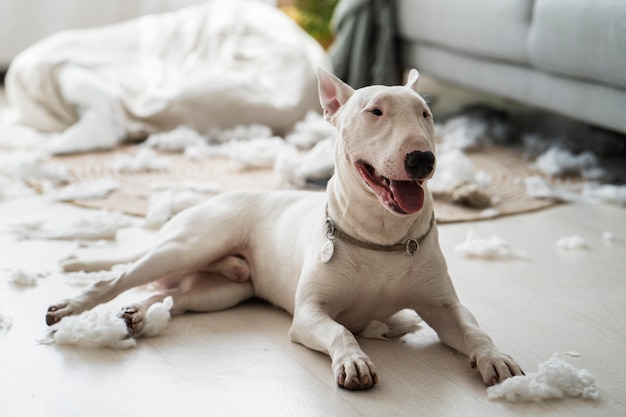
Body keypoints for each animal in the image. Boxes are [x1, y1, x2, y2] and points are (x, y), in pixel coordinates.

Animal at [45, 66, 520, 388]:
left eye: (425, 114)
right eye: (375, 111)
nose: (422, 159)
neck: (382, 234)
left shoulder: (443, 307)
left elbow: (472, 328)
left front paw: (495, 358)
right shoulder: (310, 313)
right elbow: (339, 329)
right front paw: (354, 361)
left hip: (225, 290)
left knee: (175, 296)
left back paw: (140, 314)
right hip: (190, 244)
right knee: (117, 277)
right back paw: (70, 308)